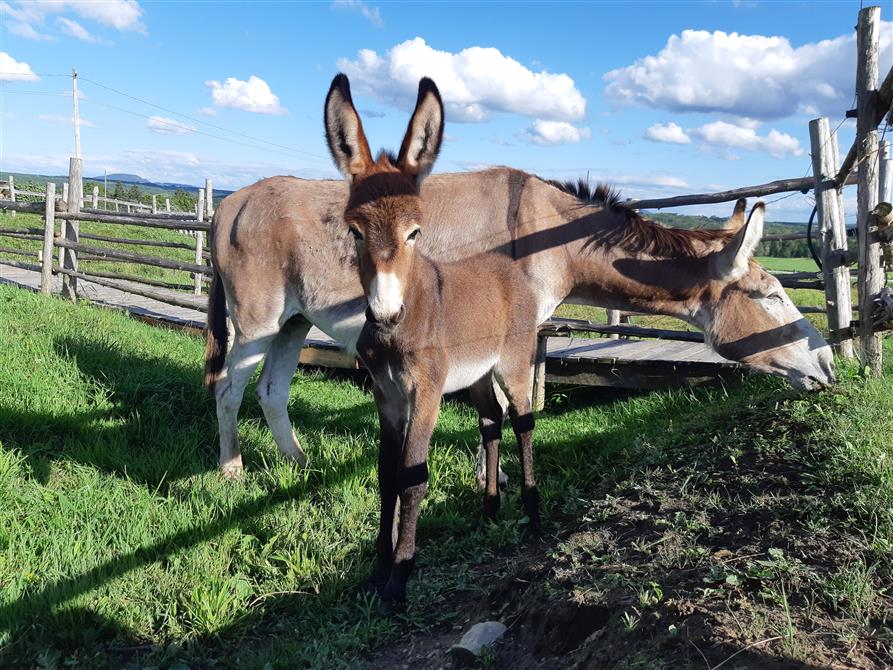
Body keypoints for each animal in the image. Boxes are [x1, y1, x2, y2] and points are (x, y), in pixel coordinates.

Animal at [326, 72, 540, 608]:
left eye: (415, 232)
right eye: (355, 231)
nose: (384, 313)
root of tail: (510, 267)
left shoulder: (425, 394)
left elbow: (412, 476)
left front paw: (400, 578)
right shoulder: (386, 395)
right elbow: (386, 475)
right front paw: (377, 570)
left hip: (513, 364)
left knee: (523, 420)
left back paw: (533, 514)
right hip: (476, 375)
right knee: (491, 421)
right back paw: (489, 509)